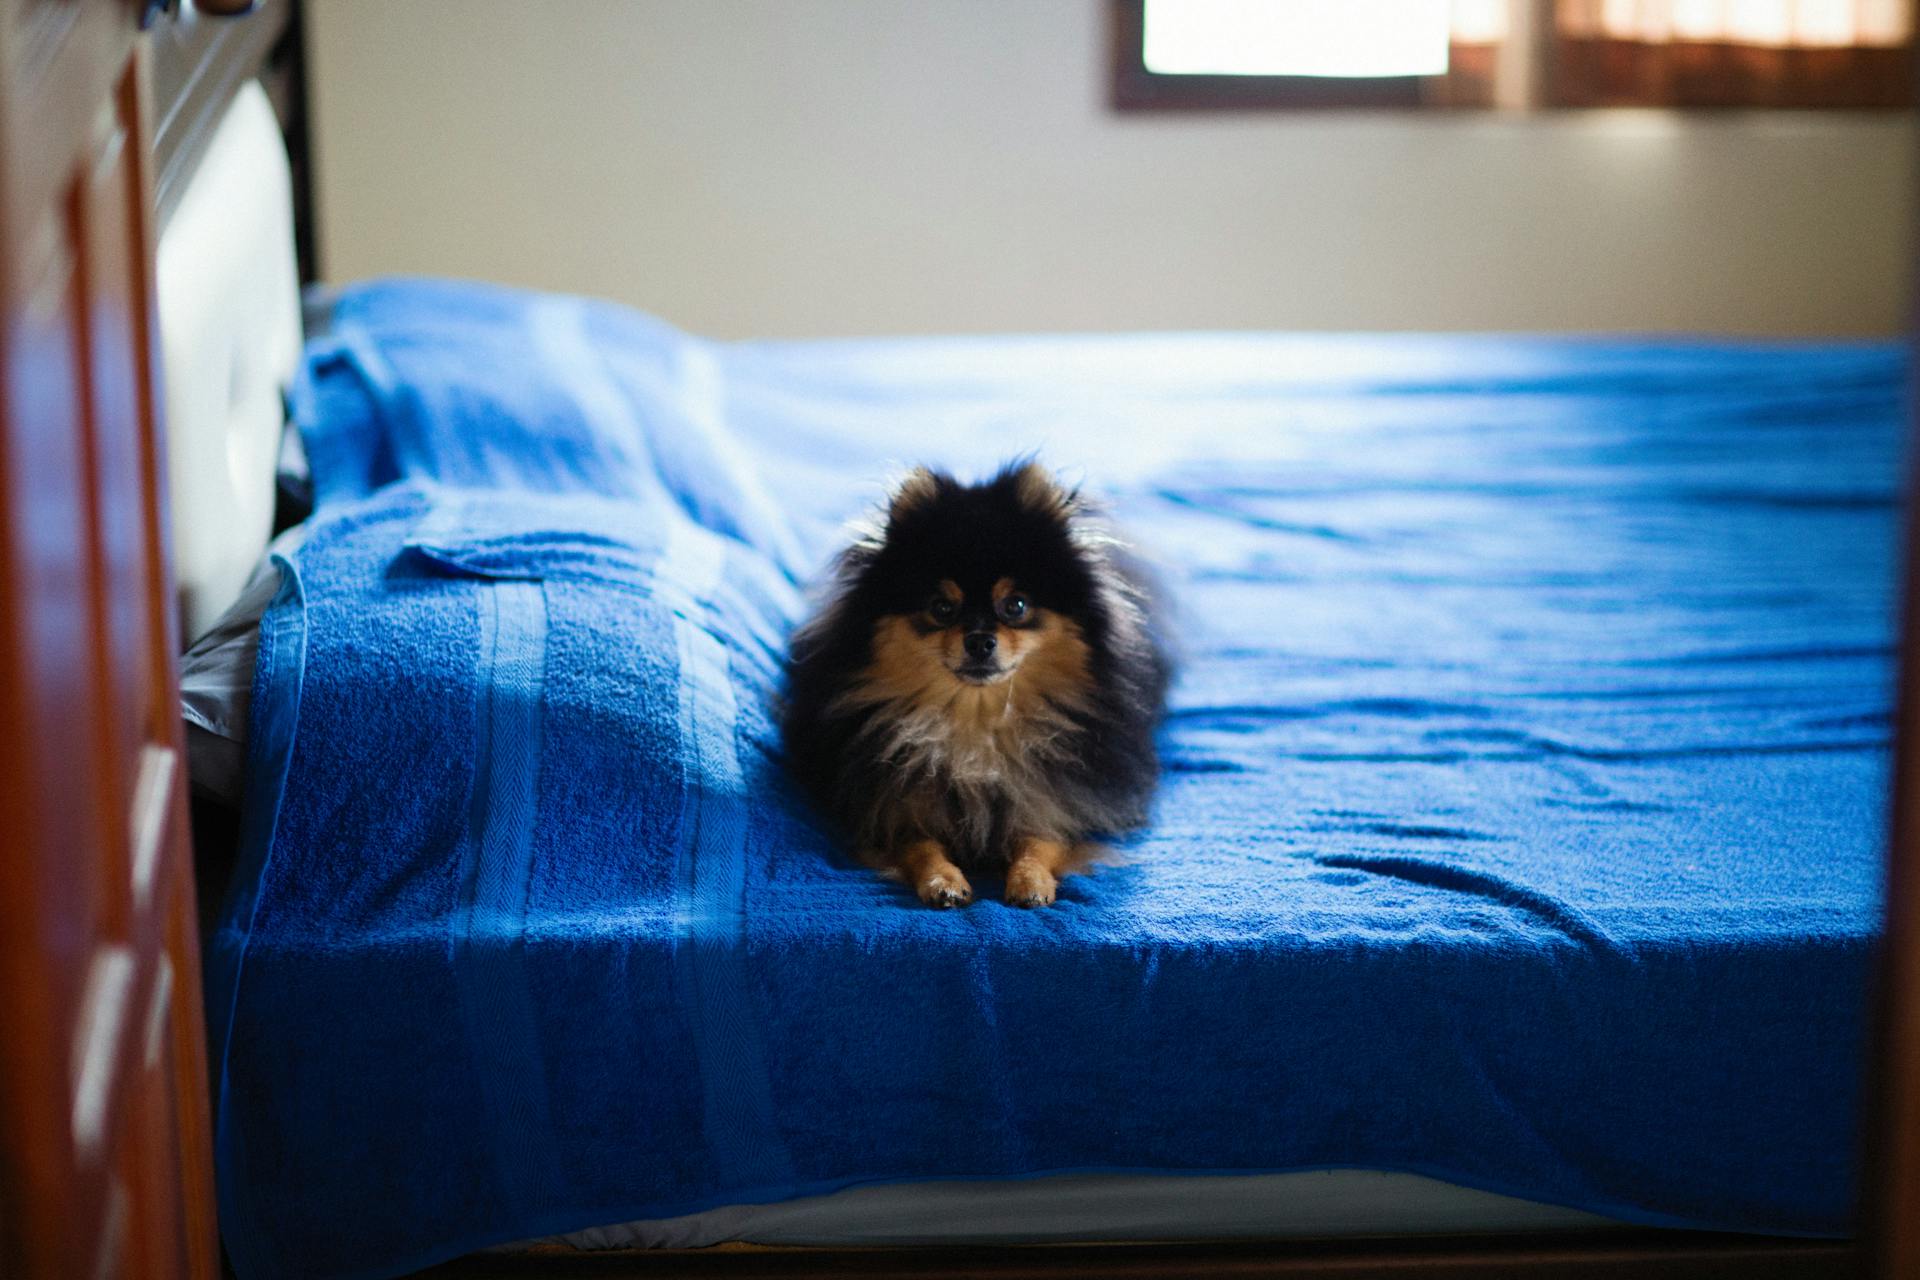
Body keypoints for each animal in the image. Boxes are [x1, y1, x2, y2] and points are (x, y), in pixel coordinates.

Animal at [779, 460, 1167, 909]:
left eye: (1016, 605)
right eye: (942, 608)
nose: (980, 640)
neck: (975, 720)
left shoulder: (1059, 800)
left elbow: (1041, 839)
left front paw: (1030, 881)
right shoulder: (892, 806)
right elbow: (919, 843)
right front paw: (942, 881)